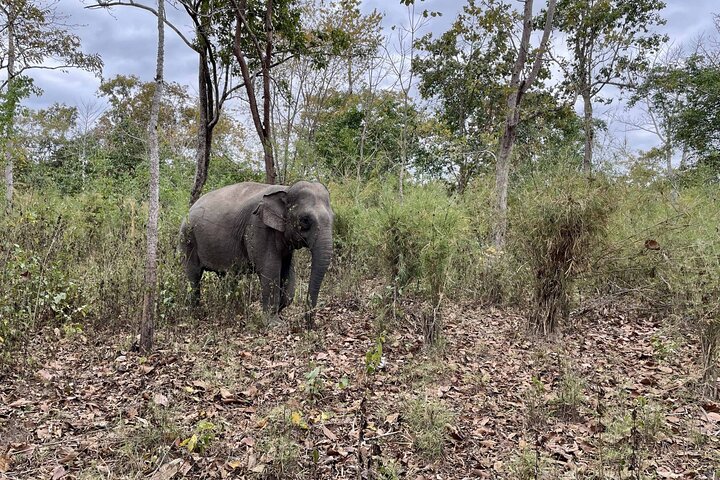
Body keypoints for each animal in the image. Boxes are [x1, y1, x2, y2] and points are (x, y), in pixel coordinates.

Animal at [179, 180, 334, 328]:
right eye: (305, 220)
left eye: (333, 217)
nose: (308, 325)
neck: (286, 189)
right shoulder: (258, 227)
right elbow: (270, 269)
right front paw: (274, 323)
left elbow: (287, 271)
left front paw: (280, 313)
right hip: (187, 239)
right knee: (193, 275)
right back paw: (195, 312)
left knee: (226, 276)